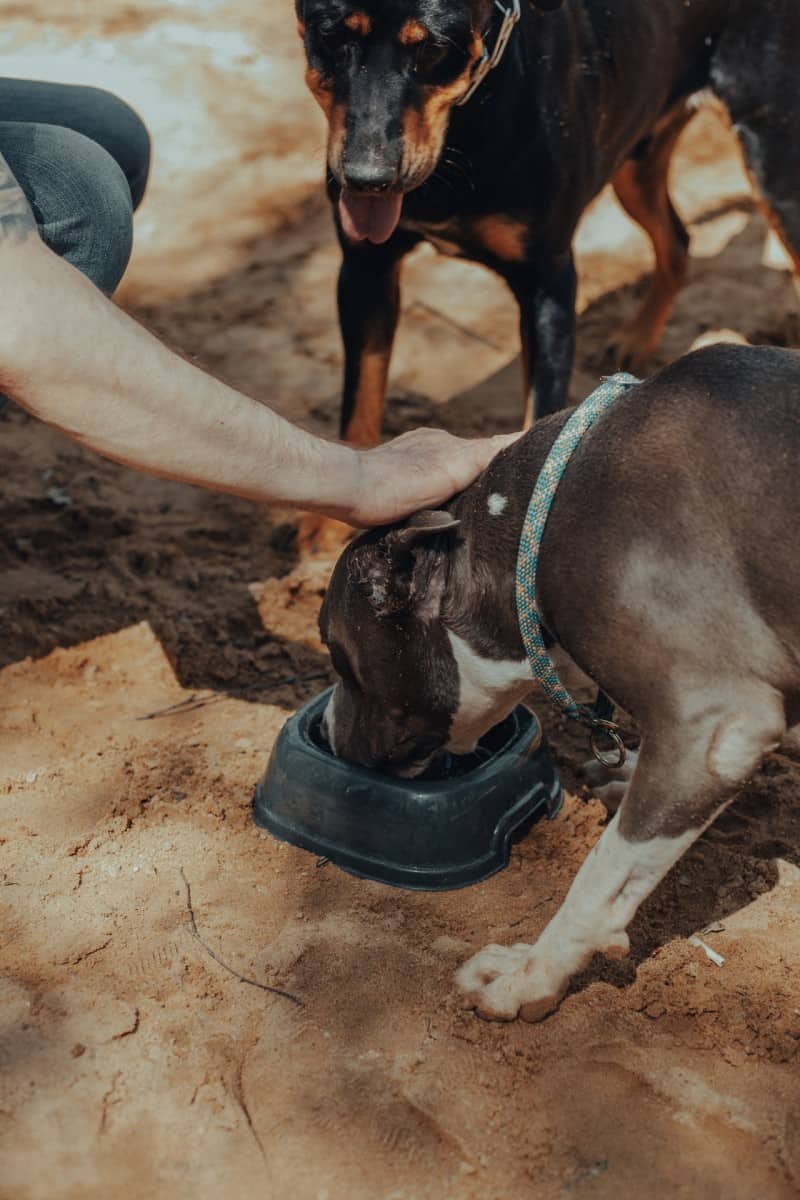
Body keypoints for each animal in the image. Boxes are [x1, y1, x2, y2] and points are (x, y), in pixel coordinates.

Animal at [297, 0, 800, 444]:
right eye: (331, 36)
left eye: (433, 47)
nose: (367, 179)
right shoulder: (365, 268)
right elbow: (359, 413)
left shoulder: (549, 285)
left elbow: (538, 415)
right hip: (636, 160)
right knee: (677, 241)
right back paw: (636, 338)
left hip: (773, 171)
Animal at [319, 345, 800, 1022]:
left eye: (338, 656)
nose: (327, 726)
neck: (537, 521)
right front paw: (630, 773)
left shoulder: (720, 724)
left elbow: (603, 874)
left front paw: (531, 971)